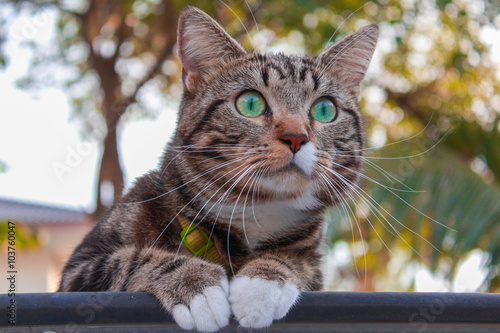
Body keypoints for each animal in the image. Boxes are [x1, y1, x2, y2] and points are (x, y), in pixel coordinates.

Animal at [58, 5, 376, 332]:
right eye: (250, 103)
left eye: (325, 109)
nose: (296, 136)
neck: (254, 214)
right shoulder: (78, 273)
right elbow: (127, 260)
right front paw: (195, 285)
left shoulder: (311, 259)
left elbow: (299, 261)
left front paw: (262, 283)